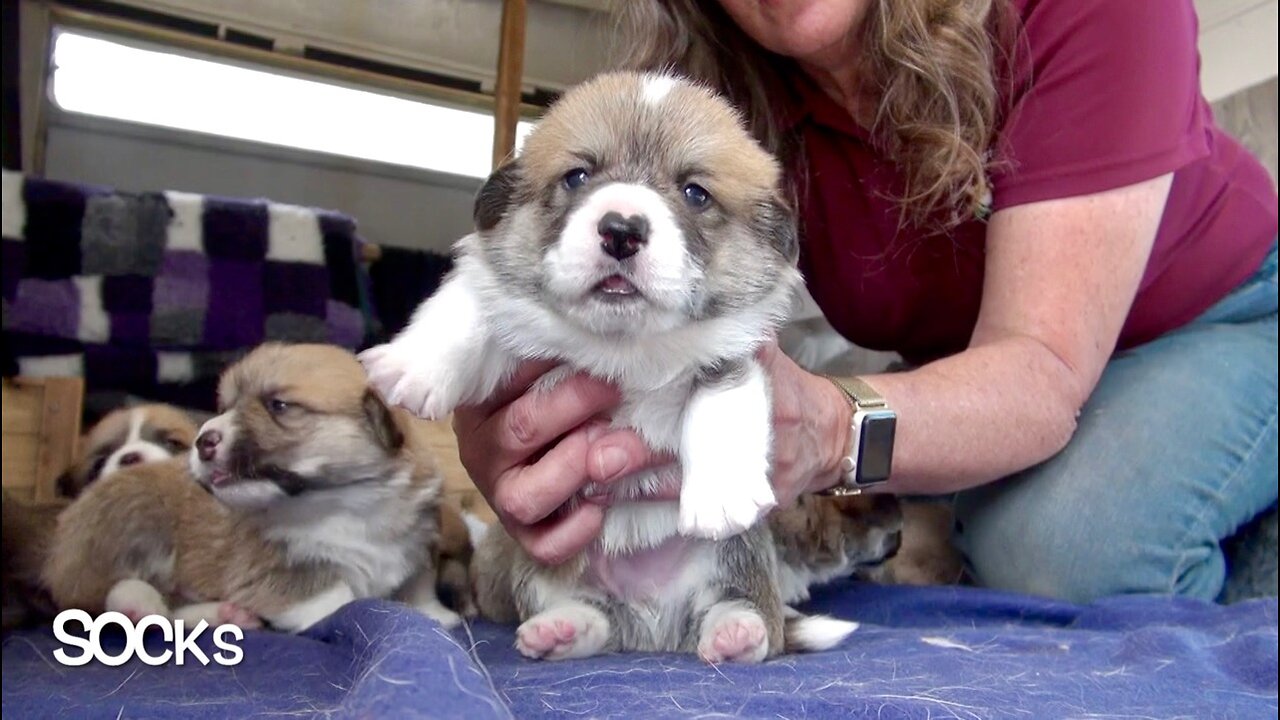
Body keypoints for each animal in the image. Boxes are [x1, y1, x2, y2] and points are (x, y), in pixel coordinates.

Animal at [360, 71, 901, 661]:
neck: (624, 346)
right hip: (547, 564)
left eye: (695, 192)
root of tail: (654, 631)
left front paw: (719, 497)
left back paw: (737, 633)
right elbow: (469, 306)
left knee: (742, 613)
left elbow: (720, 405)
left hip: (738, 560)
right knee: (593, 617)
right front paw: (411, 367)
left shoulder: (734, 353)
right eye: (577, 176)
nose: (621, 229)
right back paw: (560, 631)